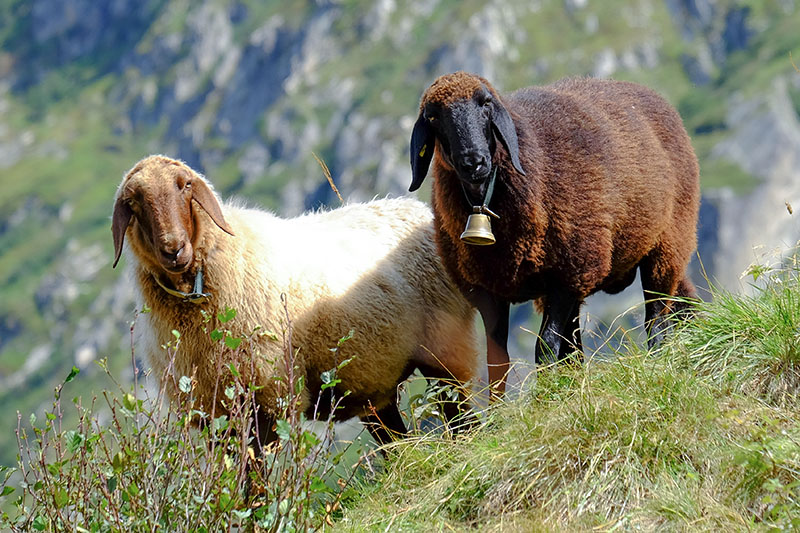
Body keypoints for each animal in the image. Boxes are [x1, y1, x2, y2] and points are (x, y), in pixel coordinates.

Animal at [110, 155, 478, 444]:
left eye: (184, 186)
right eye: (133, 203)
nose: (174, 249)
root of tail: (415, 208)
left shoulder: (266, 397)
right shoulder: (217, 414)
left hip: (445, 347)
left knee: (461, 417)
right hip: (373, 382)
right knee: (398, 441)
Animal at [412, 72, 700, 392]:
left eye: (485, 103)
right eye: (433, 116)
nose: (473, 162)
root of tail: (647, 92)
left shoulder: (568, 276)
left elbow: (545, 347)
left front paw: (544, 397)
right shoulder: (488, 292)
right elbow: (498, 362)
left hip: (666, 245)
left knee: (656, 320)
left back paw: (656, 362)